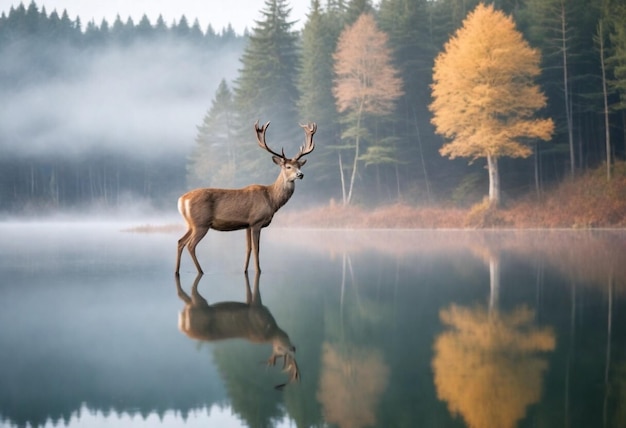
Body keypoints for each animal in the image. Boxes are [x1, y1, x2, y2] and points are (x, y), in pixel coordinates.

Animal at [173, 120, 314, 274]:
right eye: (288, 166)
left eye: (299, 165)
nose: (300, 174)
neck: (271, 199)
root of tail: (181, 200)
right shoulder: (256, 221)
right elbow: (257, 249)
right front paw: (258, 270)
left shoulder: (247, 224)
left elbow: (248, 248)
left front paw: (245, 270)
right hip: (201, 223)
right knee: (190, 245)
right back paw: (200, 271)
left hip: (191, 223)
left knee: (180, 241)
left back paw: (177, 271)